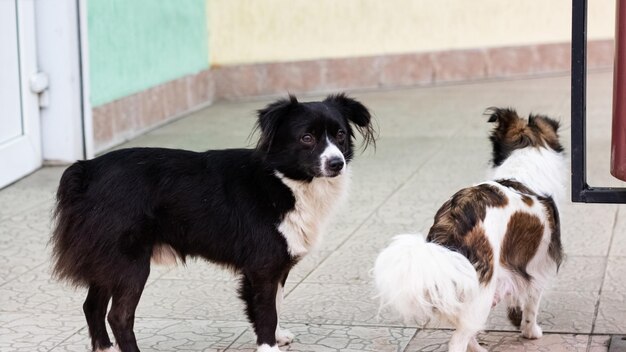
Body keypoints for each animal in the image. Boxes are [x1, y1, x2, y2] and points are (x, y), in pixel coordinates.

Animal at [51, 93, 372, 352]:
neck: (283, 181)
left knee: (92, 306)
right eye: (307, 138)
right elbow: (267, 312)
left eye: (340, 135)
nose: (337, 163)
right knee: (118, 316)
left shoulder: (279, 264)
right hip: (129, 262)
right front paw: (268, 347)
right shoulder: (263, 266)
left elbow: (277, 304)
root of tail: (85, 170)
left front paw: (279, 336)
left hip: (106, 259)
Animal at [372, 108, 564, 352]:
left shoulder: (514, 265)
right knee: (459, 338)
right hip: (482, 289)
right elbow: (531, 303)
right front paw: (531, 331)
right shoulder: (538, 267)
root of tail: (453, 224)